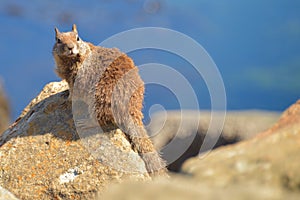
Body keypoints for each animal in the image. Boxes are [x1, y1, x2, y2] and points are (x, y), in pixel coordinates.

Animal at [51, 24, 166, 176]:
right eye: (58, 40)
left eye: (77, 38)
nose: (70, 47)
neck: (74, 59)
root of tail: (132, 109)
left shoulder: (75, 80)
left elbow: (73, 94)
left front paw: (66, 99)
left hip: (99, 99)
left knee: (101, 118)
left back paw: (85, 122)